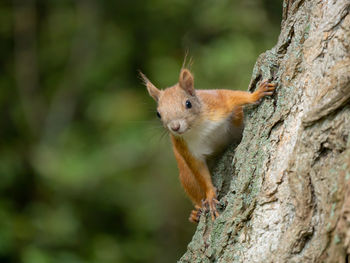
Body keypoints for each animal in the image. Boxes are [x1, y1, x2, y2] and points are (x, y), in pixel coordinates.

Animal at [141, 67, 274, 223]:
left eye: (188, 103)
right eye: (158, 114)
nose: (175, 127)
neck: (197, 127)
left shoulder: (217, 102)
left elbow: (232, 96)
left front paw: (256, 94)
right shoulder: (185, 148)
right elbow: (200, 172)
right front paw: (210, 196)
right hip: (186, 176)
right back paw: (196, 212)